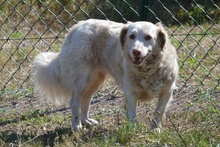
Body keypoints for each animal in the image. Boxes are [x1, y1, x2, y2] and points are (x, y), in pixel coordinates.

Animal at [33, 19, 179, 131]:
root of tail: (77, 27)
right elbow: (132, 114)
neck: (148, 69)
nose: (135, 52)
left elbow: (158, 112)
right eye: (131, 36)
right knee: (75, 102)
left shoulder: (167, 91)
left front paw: (155, 129)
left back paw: (86, 121)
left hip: (95, 80)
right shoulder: (130, 92)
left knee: (86, 100)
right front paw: (134, 130)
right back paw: (77, 125)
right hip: (82, 80)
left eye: (148, 37)